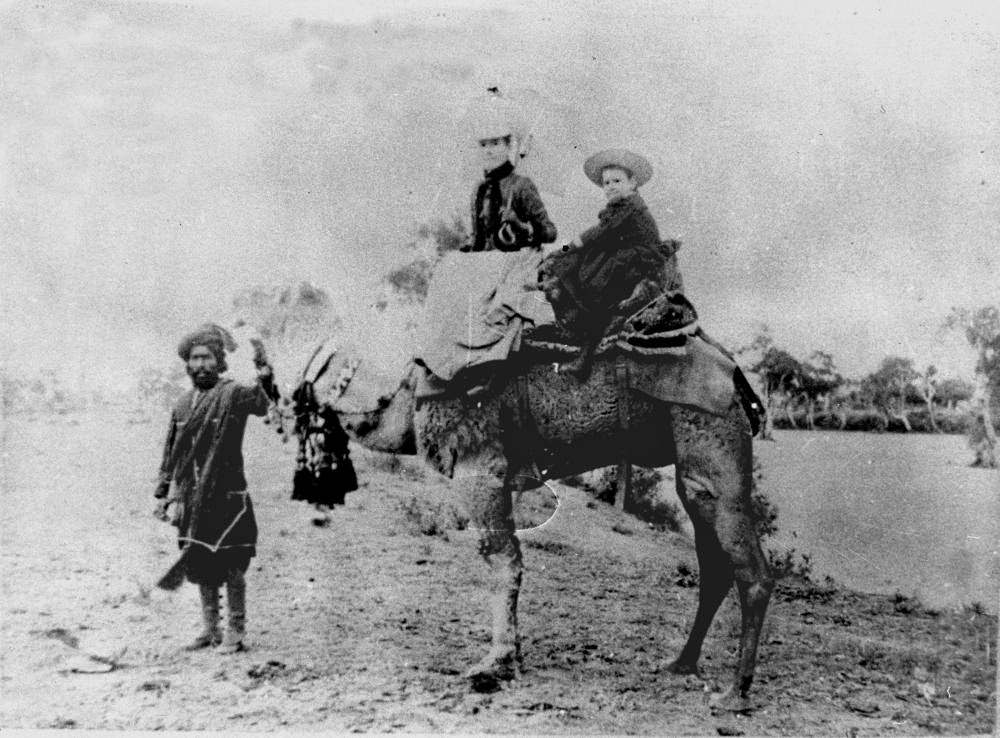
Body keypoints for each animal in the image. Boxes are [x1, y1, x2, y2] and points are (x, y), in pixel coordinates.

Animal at [300, 344, 776, 708]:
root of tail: (738, 379)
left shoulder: (480, 467)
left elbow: (502, 562)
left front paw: (495, 664)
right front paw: (511, 657)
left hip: (714, 445)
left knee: (754, 573)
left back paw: (735, 693)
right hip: (690, 471)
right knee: (714, 566)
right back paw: (681, 664)